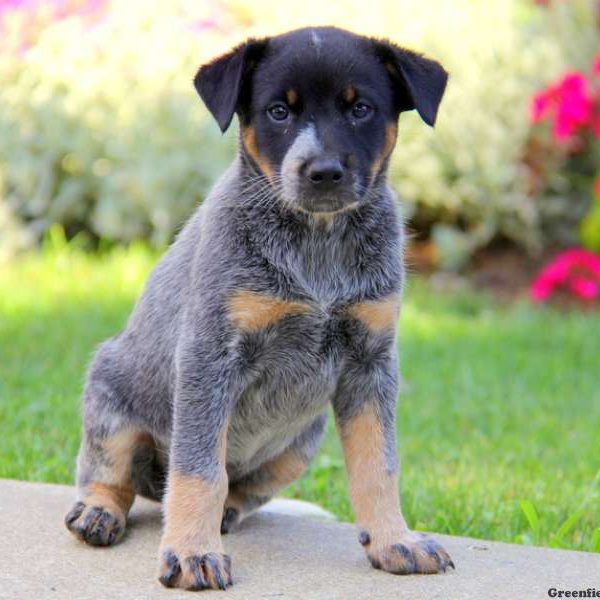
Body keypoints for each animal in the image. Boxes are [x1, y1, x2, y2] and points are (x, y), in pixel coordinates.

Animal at [64, 27, 450, 592]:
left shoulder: (371, 362)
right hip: (110, 391)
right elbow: (199, 470)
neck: (318, 245)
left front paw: (394, 541)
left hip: (301, 441)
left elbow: (378, 466)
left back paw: (226, 514)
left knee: (238, 489)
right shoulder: (209, 356)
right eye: (278, 112)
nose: (323, 172)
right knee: (109, 472)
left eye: (360, 109)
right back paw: (98, 512)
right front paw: (192, 552)